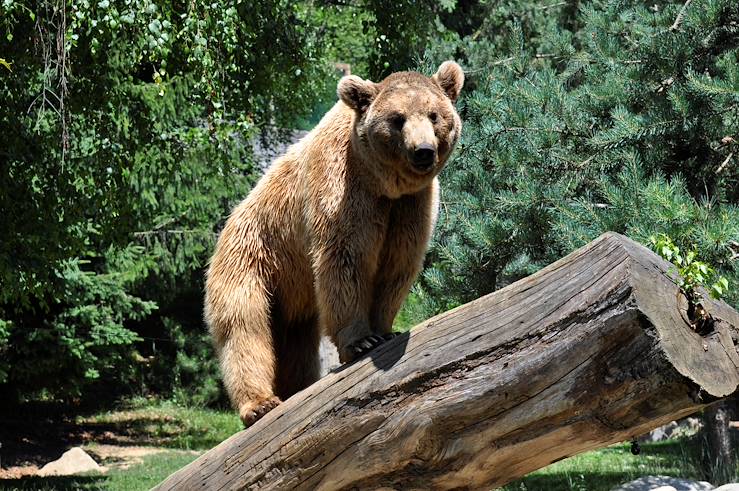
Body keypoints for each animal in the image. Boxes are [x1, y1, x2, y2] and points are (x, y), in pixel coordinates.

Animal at [205, 59, 466, 424]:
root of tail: (226, 228)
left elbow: (397, 266)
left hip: (294, 296)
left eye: (433, 115)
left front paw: (385, 329)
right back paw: (259, 404)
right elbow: (345, 262)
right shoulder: (343, 189)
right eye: (397, 118)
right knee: (245, 327)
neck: (384, 184)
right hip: (252, 260)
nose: (423, 152)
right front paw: (361, 341)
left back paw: (296, 387)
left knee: (296, 343)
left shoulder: (411, 206)